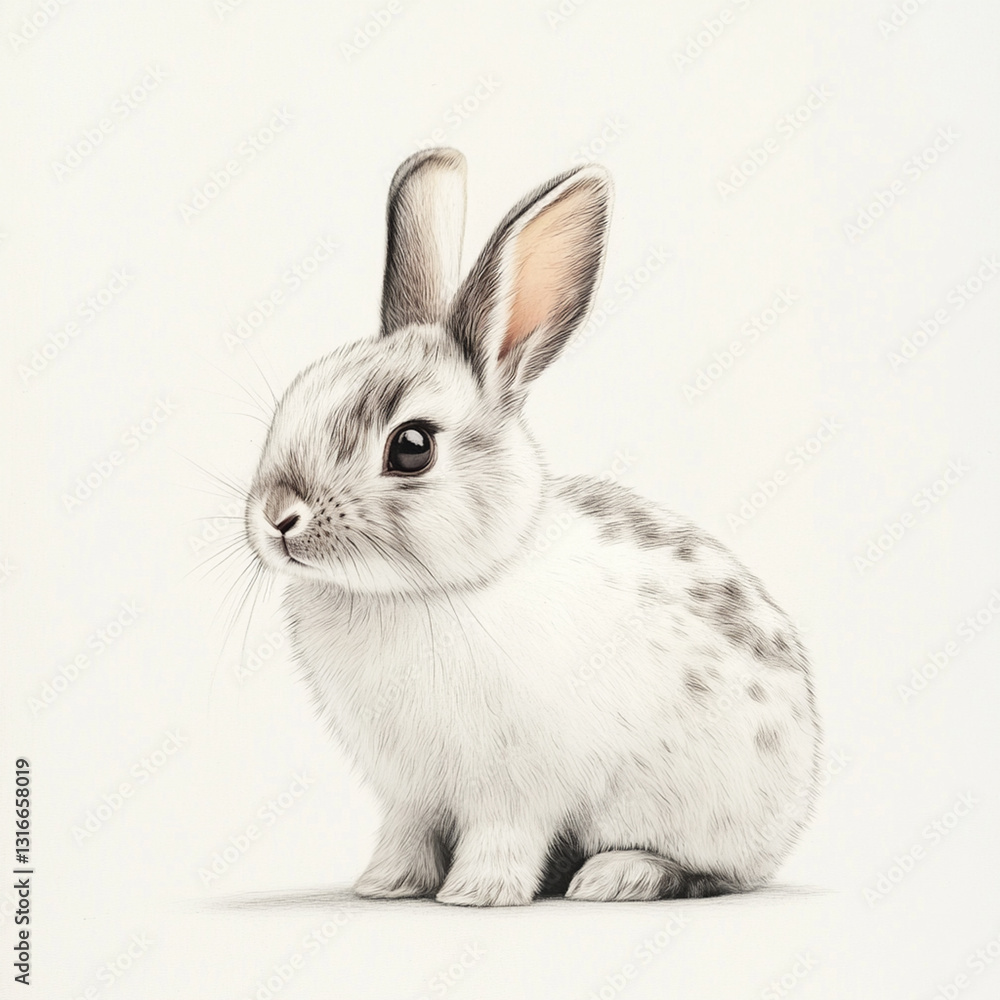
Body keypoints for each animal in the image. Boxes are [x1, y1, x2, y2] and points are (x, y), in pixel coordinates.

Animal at [243, 147, 820, 906]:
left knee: (707, 871)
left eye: (411, 446)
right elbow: (406, 833)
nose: (276, 518)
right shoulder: (410, 793)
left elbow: (502, 833)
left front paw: (477, 894)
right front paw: (385, 885)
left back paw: (613, 876)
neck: (425, 591)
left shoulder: (515, 789)